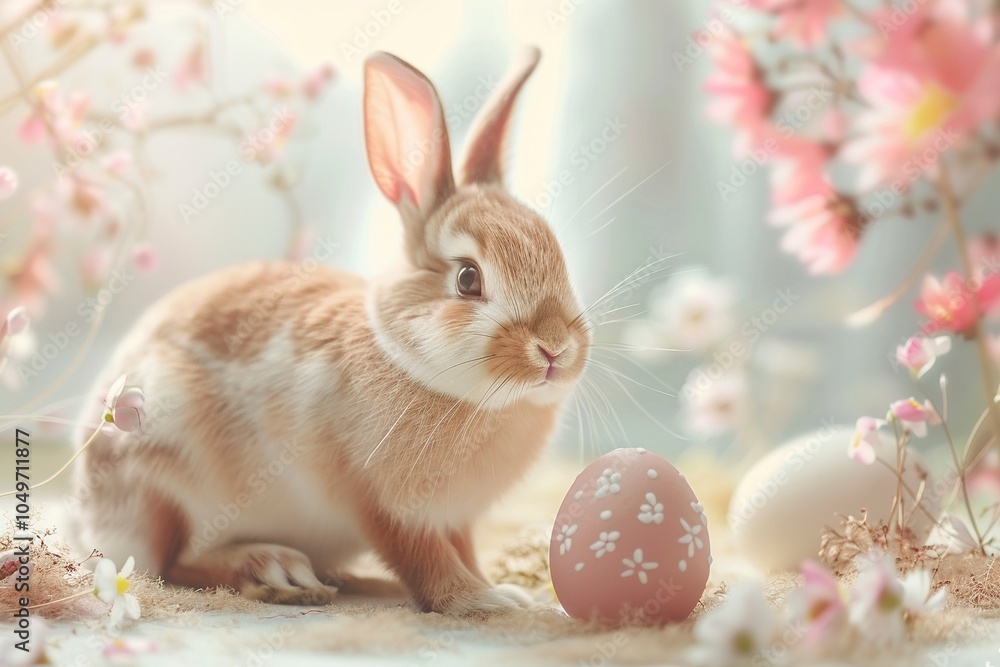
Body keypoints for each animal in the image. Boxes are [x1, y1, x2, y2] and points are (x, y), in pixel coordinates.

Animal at [71, 46, 590, 615]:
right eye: (468, 279)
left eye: (560, 257)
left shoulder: (455, 517)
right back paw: (274, 570)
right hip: (165, 467)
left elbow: (463, 548)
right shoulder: (382, 504)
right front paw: (483, 601)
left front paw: (508, 590)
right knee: (173, 564)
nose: (555, 350)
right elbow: (423, 557)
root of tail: (87, 520)